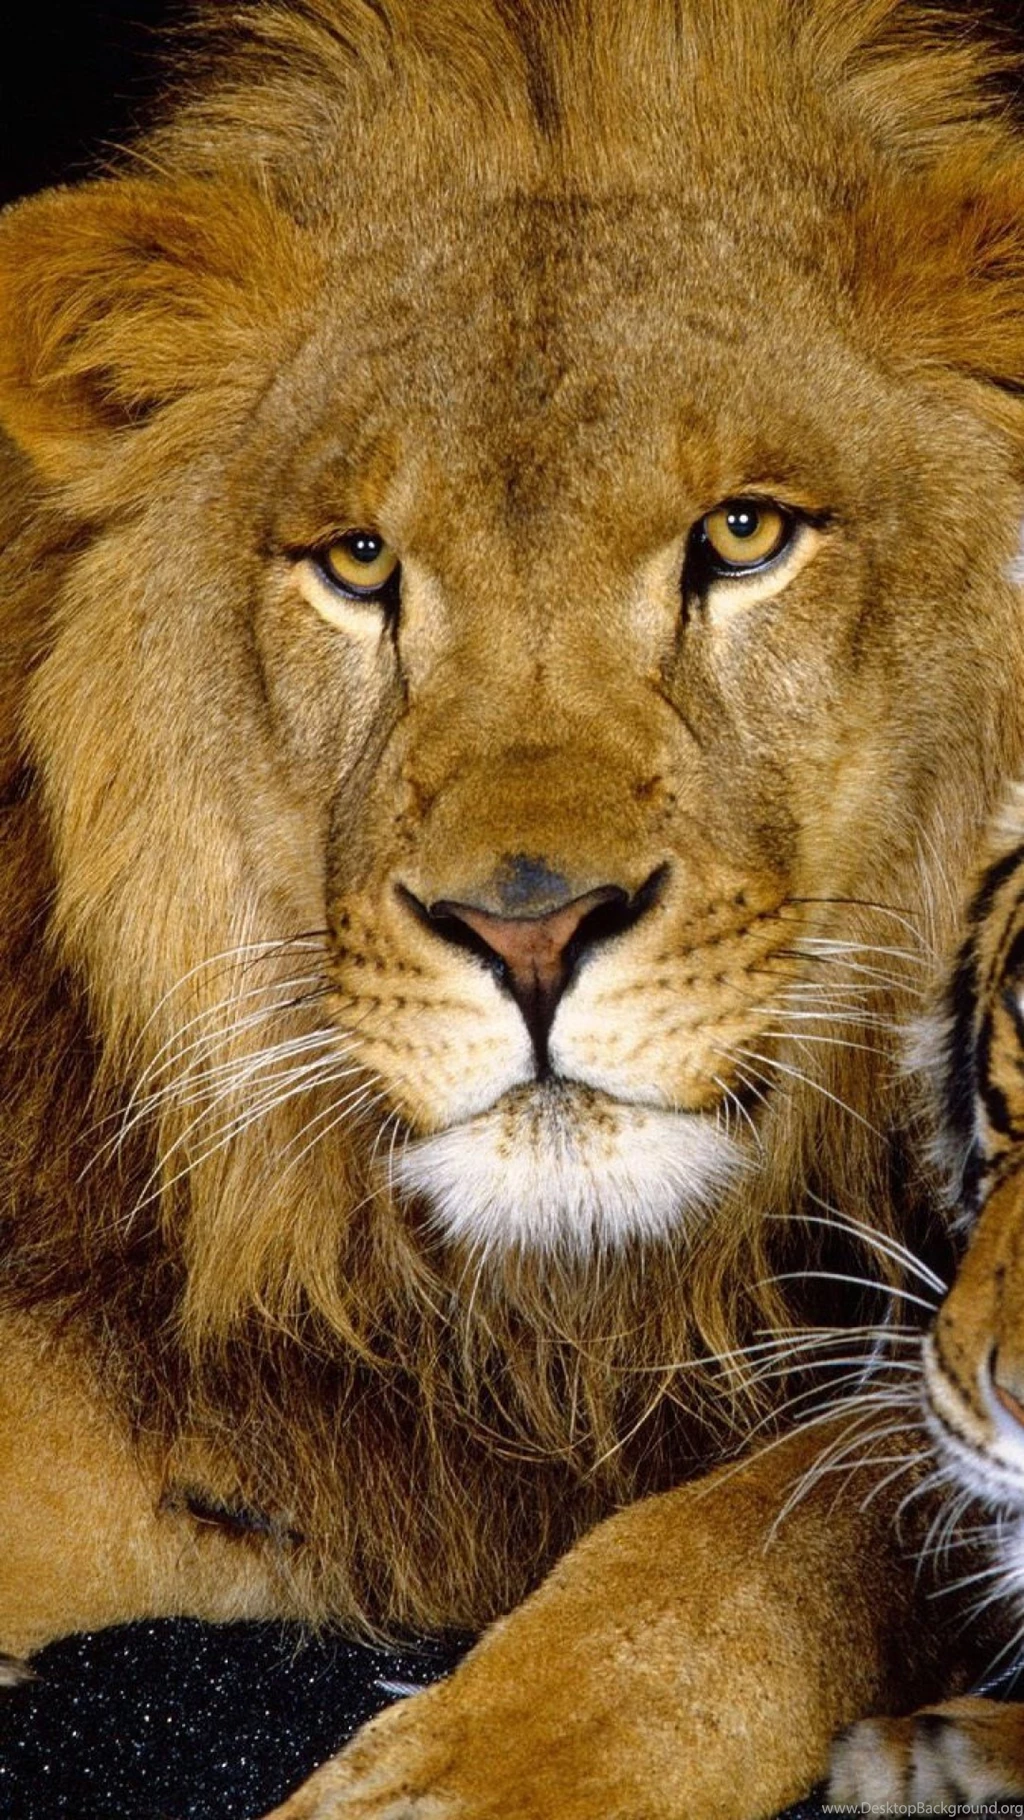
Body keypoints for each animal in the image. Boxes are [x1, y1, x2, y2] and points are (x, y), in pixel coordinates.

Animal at [4, 0, 1024, 1814]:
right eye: (356, 563)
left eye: (743, 534)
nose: (530, 932)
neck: (576, 1319)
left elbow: (772, 1529)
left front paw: (485, 1761)